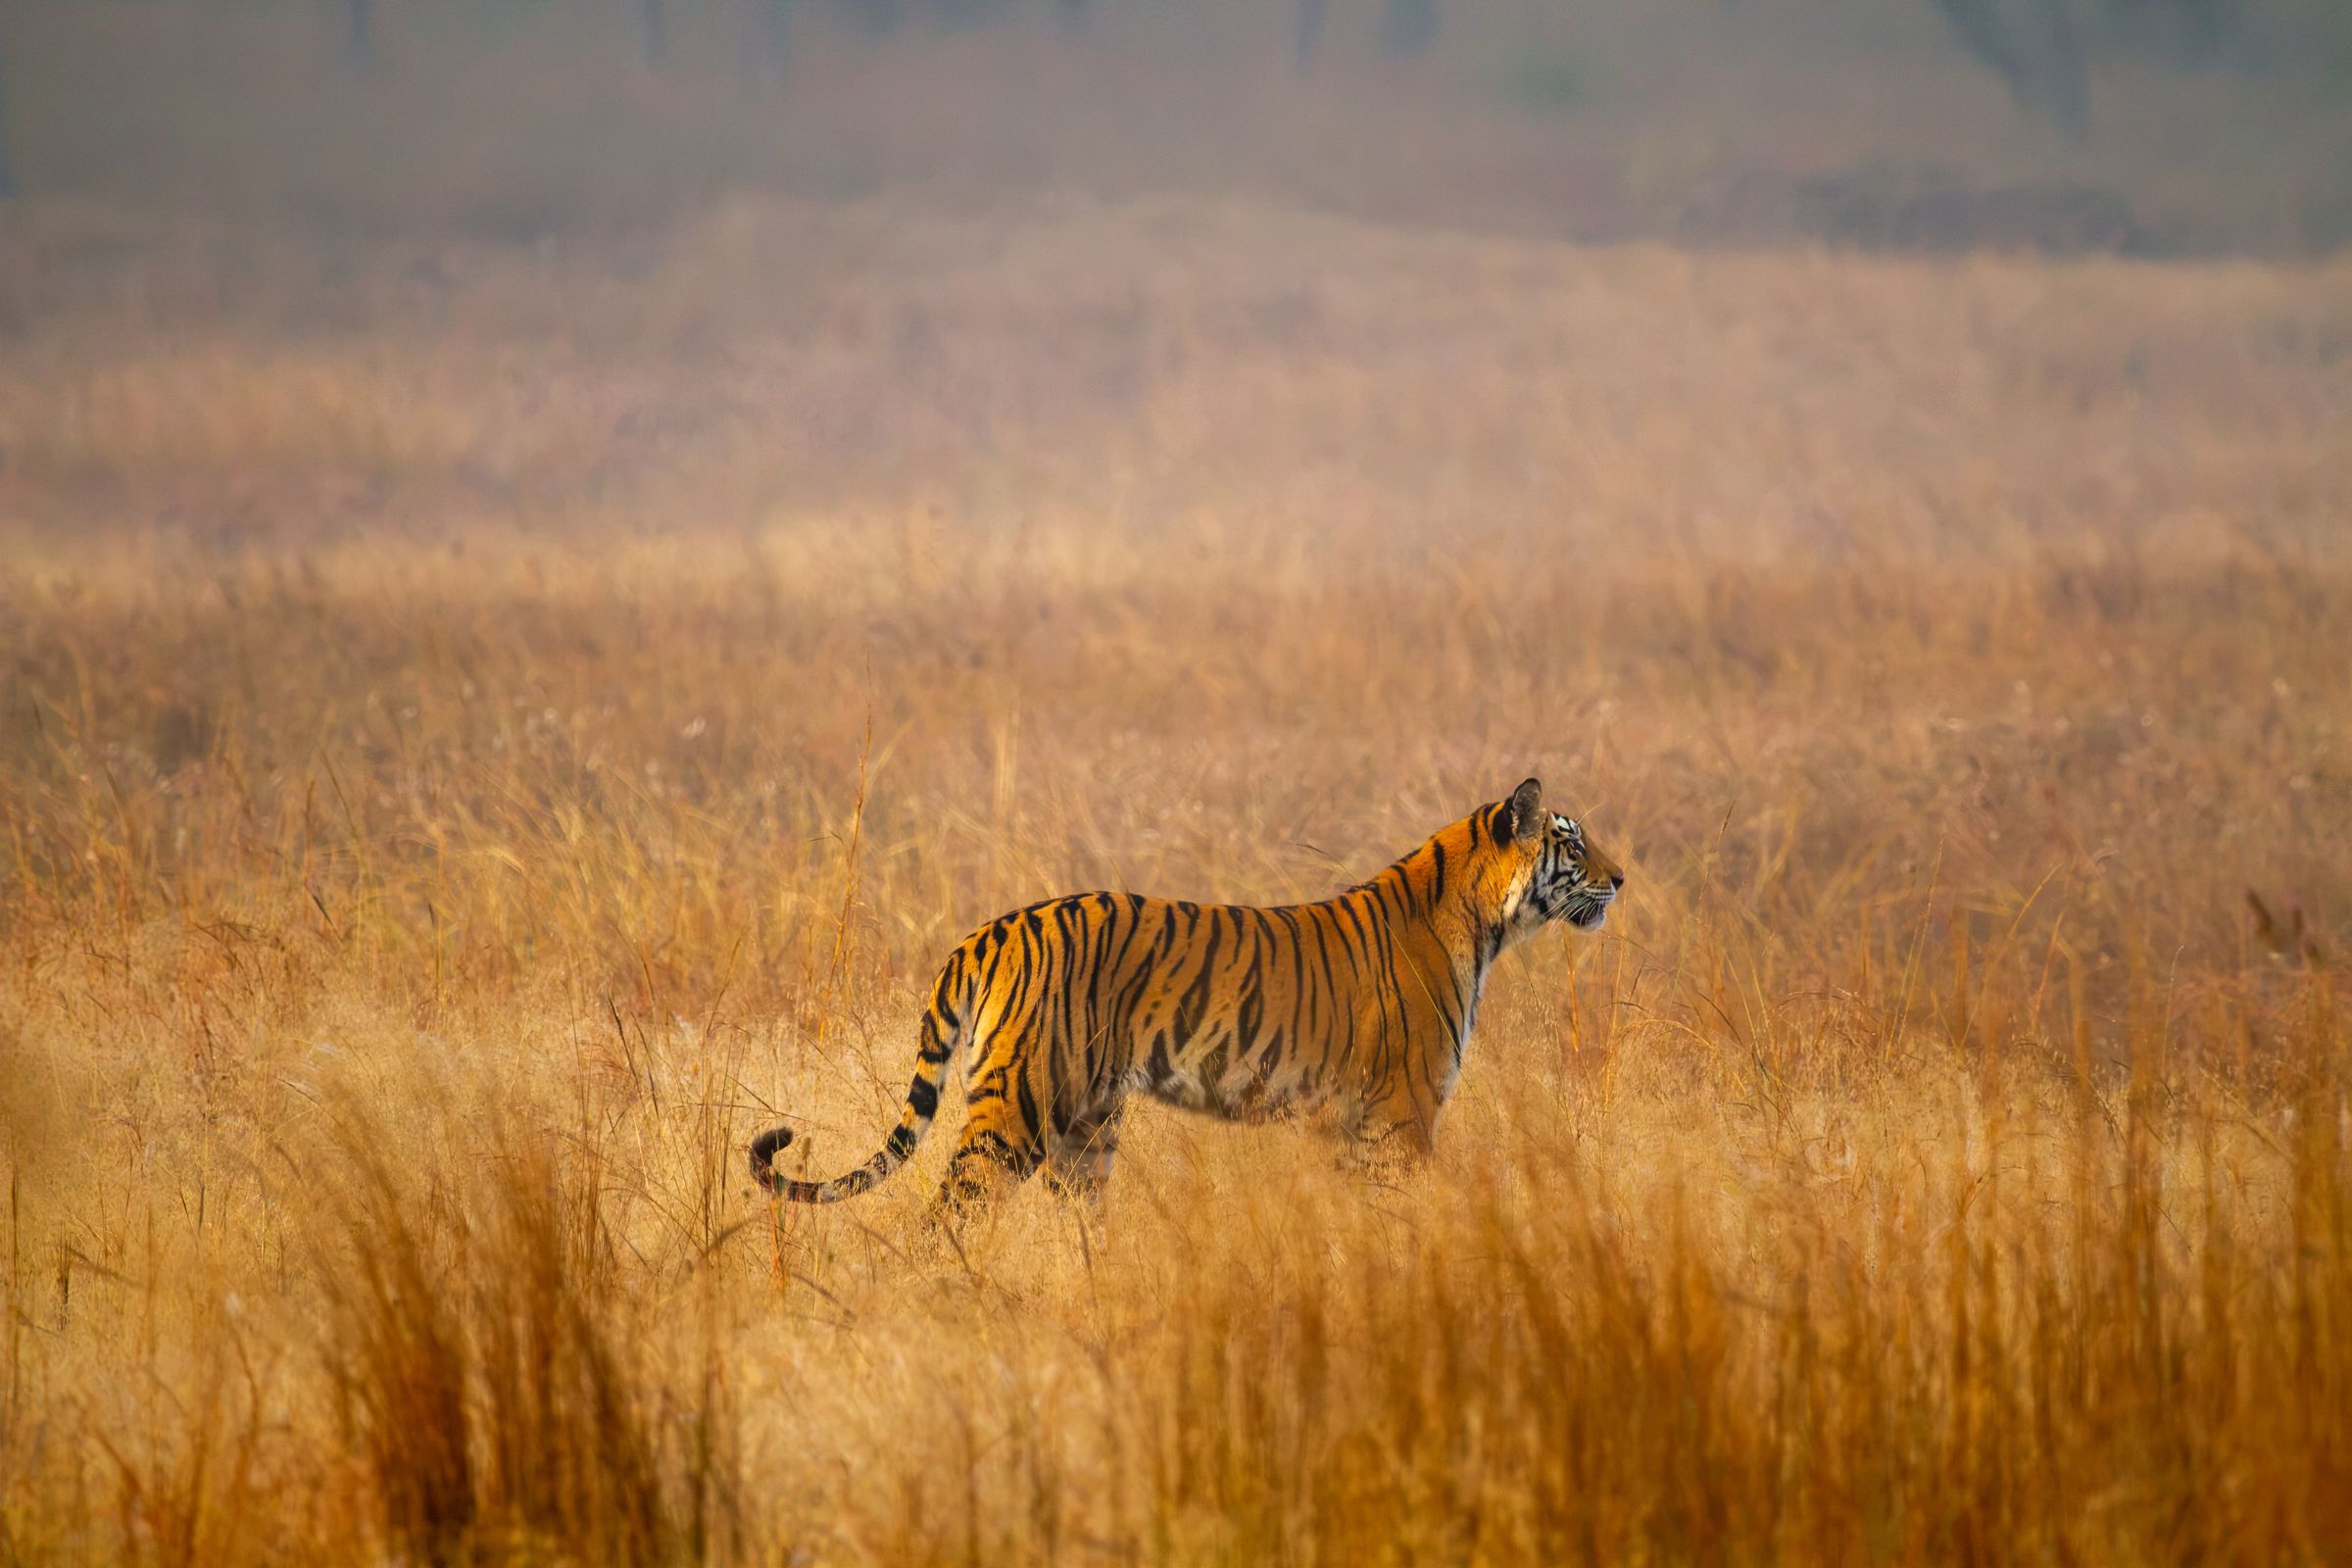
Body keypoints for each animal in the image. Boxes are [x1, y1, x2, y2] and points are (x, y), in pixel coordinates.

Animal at [749, 777, 1622, 1210]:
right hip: (1018, 1107)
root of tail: (994, 928)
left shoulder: (1350, 1125)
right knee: (952, 1211)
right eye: (1573, 843)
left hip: (1088, 1127)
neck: (1482, 922)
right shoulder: (1402, 1113)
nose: (1621, 879)